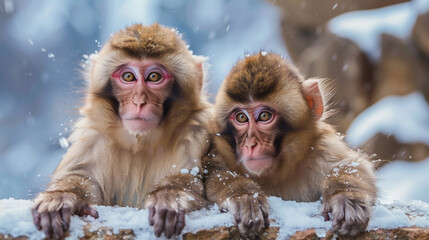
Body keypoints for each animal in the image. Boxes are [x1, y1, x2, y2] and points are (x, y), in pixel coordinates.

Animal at [30, 23, 211, 239]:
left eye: (154, 77)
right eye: (128, 76)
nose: (139, 101)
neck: (140, 143)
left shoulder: (194, 134)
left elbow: (188, 180)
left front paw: (168, 198)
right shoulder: (93, 139)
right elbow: (82, 177)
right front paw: (61, 198)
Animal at [203, 52, 374, 236]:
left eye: (264, 116)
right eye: (241, 117)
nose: (250, 144)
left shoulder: (323, 149)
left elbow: (355, 166)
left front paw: (345, 196)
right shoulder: (217, 151)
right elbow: (214, 174)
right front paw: (244, 197)